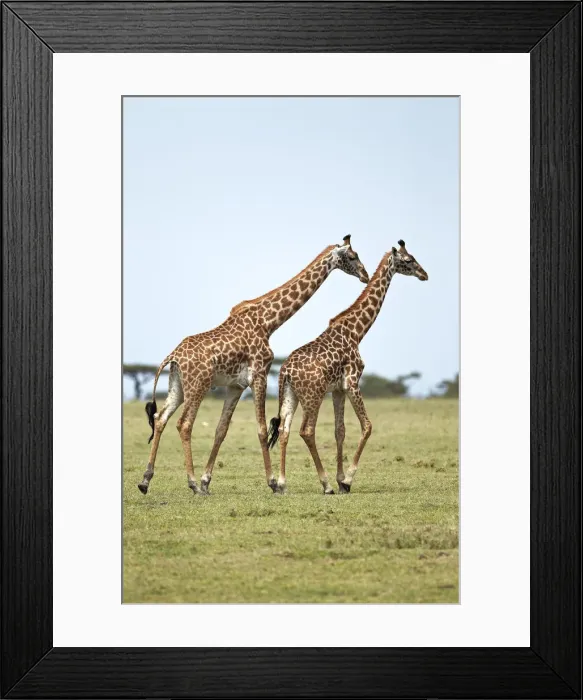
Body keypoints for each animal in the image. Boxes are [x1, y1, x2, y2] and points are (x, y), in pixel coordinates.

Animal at [138, 236, 369, 496]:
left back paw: (146, 481)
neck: (268, 322)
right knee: (184, 424)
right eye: (352, 256)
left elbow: (221, 429)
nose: (365, 274)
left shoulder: (236, 385)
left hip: (177, 385)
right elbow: (260, 427)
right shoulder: (260, 373)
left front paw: (208, 482)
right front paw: (273, 483)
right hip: (198, 385)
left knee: (160, 418)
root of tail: (173, 356)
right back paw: (192, 484)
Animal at [267, 240, 428, 494]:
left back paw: (282, 484)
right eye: (409, 260)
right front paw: (346, 480)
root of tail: (286, 372)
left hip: (290, 394)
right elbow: (367, 426)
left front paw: (341, 478)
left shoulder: (338, 389)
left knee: (285, 429)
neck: (356, 331)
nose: (425, 274)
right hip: (313, 395)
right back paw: (325, 485)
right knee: (307, 430)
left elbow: (339, 431)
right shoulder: (352, 381)